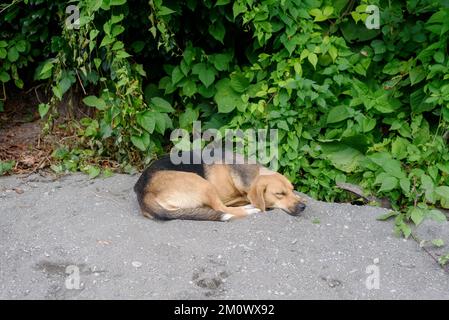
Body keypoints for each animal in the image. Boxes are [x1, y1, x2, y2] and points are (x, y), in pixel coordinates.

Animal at [133, 151, 306, 221]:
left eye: (291, 190)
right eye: (279, 194)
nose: (303, 207)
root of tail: (143, 192)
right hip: (202, 183)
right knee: (223, 209)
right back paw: (250, 209)